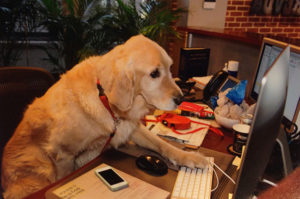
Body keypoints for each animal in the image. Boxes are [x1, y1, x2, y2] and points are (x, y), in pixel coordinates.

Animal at [2, 35, 207, 198]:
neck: (105, 100)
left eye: (171, 68)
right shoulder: (63, 154)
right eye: (154, 74)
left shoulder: (131, 128)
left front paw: (190, 157)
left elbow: (162, 144)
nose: (181, 99)